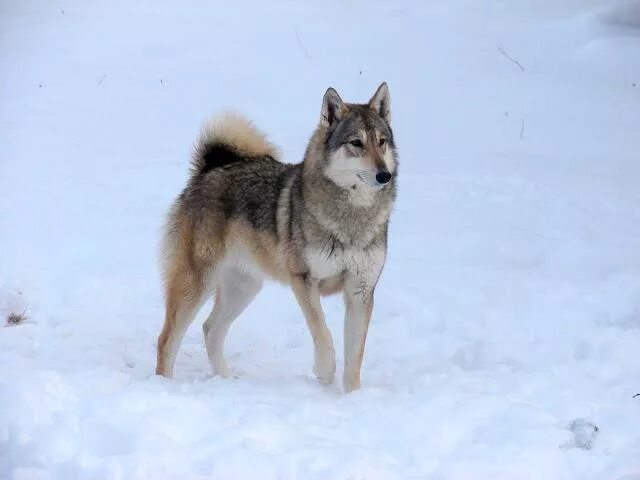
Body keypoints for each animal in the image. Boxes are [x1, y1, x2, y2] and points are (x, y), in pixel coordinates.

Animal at [155, 81, 396, 390]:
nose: (384, 175)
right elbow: (323, 333)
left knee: (210, 329)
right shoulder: (303, 280)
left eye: (382, 141)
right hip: (197, 284)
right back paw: (163, 387)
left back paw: (226, 380)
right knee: (166, 340)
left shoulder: (360, 290)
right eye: (356, 143)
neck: (353, 217)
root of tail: (209, 169)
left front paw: (352, 395)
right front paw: (324, 371)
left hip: (244, 287)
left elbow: (355, 357)